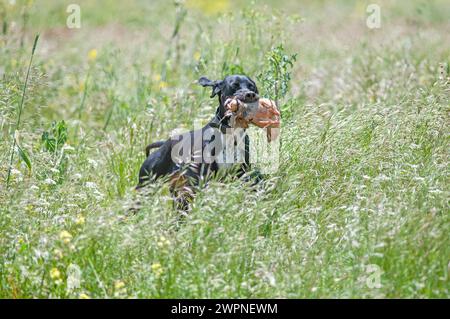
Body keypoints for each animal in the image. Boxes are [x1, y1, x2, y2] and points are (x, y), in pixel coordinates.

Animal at [136, 75, 260, 210]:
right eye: (234, 85)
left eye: (252, 86)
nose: (250, 94)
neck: (230, 134)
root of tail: (163, 145)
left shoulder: (242, 174)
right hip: (146, 186)